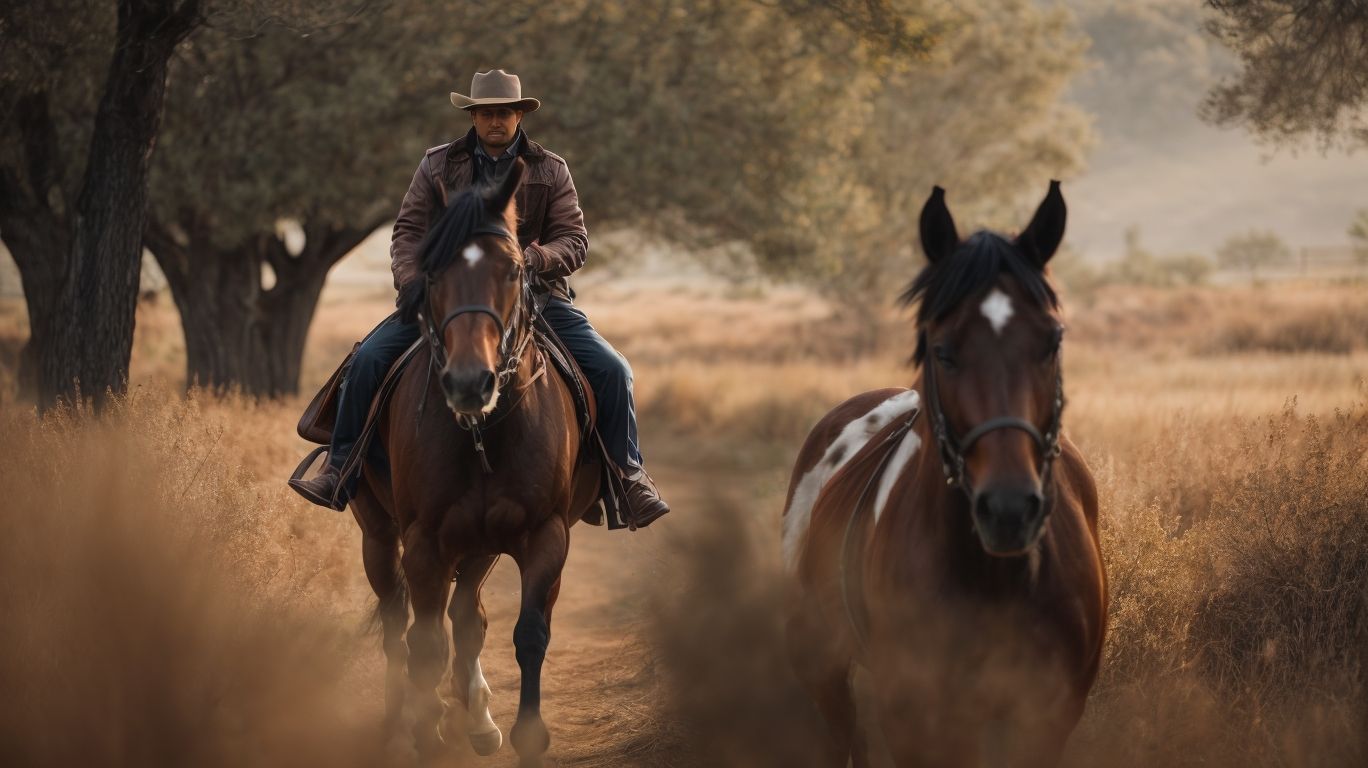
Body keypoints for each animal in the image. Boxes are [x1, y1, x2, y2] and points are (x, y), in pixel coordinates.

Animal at [348, 158, 600, 767]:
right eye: (432, 274)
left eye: (513, 271)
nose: (468, 382)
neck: (486, 431)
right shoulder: (423, 542)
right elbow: (424, 644)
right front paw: (426, 732)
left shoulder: (545, 535)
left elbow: (527, 635)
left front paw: (520, 735)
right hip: (378, 535)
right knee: (398, 622)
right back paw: (402, 722)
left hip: (480, 544)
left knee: (469, 618)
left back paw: (477, 719)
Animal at [781, 183, 1107, 767]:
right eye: (943, 350)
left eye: (1052, 341)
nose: (1008, 510)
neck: (999, 576)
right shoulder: (922, 720)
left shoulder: (1048, 714)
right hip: (820, 665)